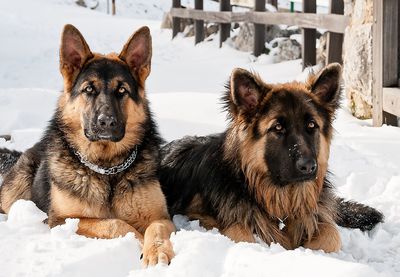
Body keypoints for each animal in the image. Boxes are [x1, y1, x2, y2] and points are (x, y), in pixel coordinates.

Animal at [0, 25, 174, 266]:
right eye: (89, 89)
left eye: (122, 90)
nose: (106, 122)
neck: (107, 169)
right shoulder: (64, 220)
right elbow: (115, 223)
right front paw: (137, 239)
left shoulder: (161, 218)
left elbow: (155, 229)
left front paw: (156, 252)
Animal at [160, 64, 384, 252]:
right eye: (277, 127)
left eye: (311, 125)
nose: (309, 167)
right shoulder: (198, 217)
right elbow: (240, 232)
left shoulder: (318, 217)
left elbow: (331, 235)